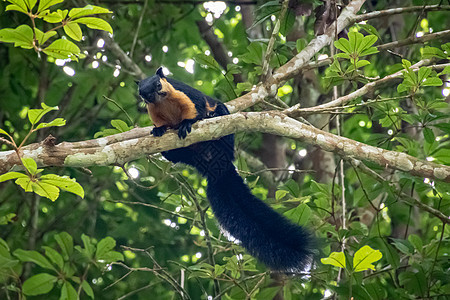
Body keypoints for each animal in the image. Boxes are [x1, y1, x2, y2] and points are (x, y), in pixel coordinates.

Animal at [137, 67, 312, 272]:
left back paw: (212, 119)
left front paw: (187, 123)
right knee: (173, 155)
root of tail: (217, 168)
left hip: (224, 130)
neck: (163, 103)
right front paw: (159, 130)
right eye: (145, 94)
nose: (159, 94)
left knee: (221, 118)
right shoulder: (153, 112)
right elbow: (160, 124)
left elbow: (197, 109)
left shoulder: (184, 94)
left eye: (158, 84)